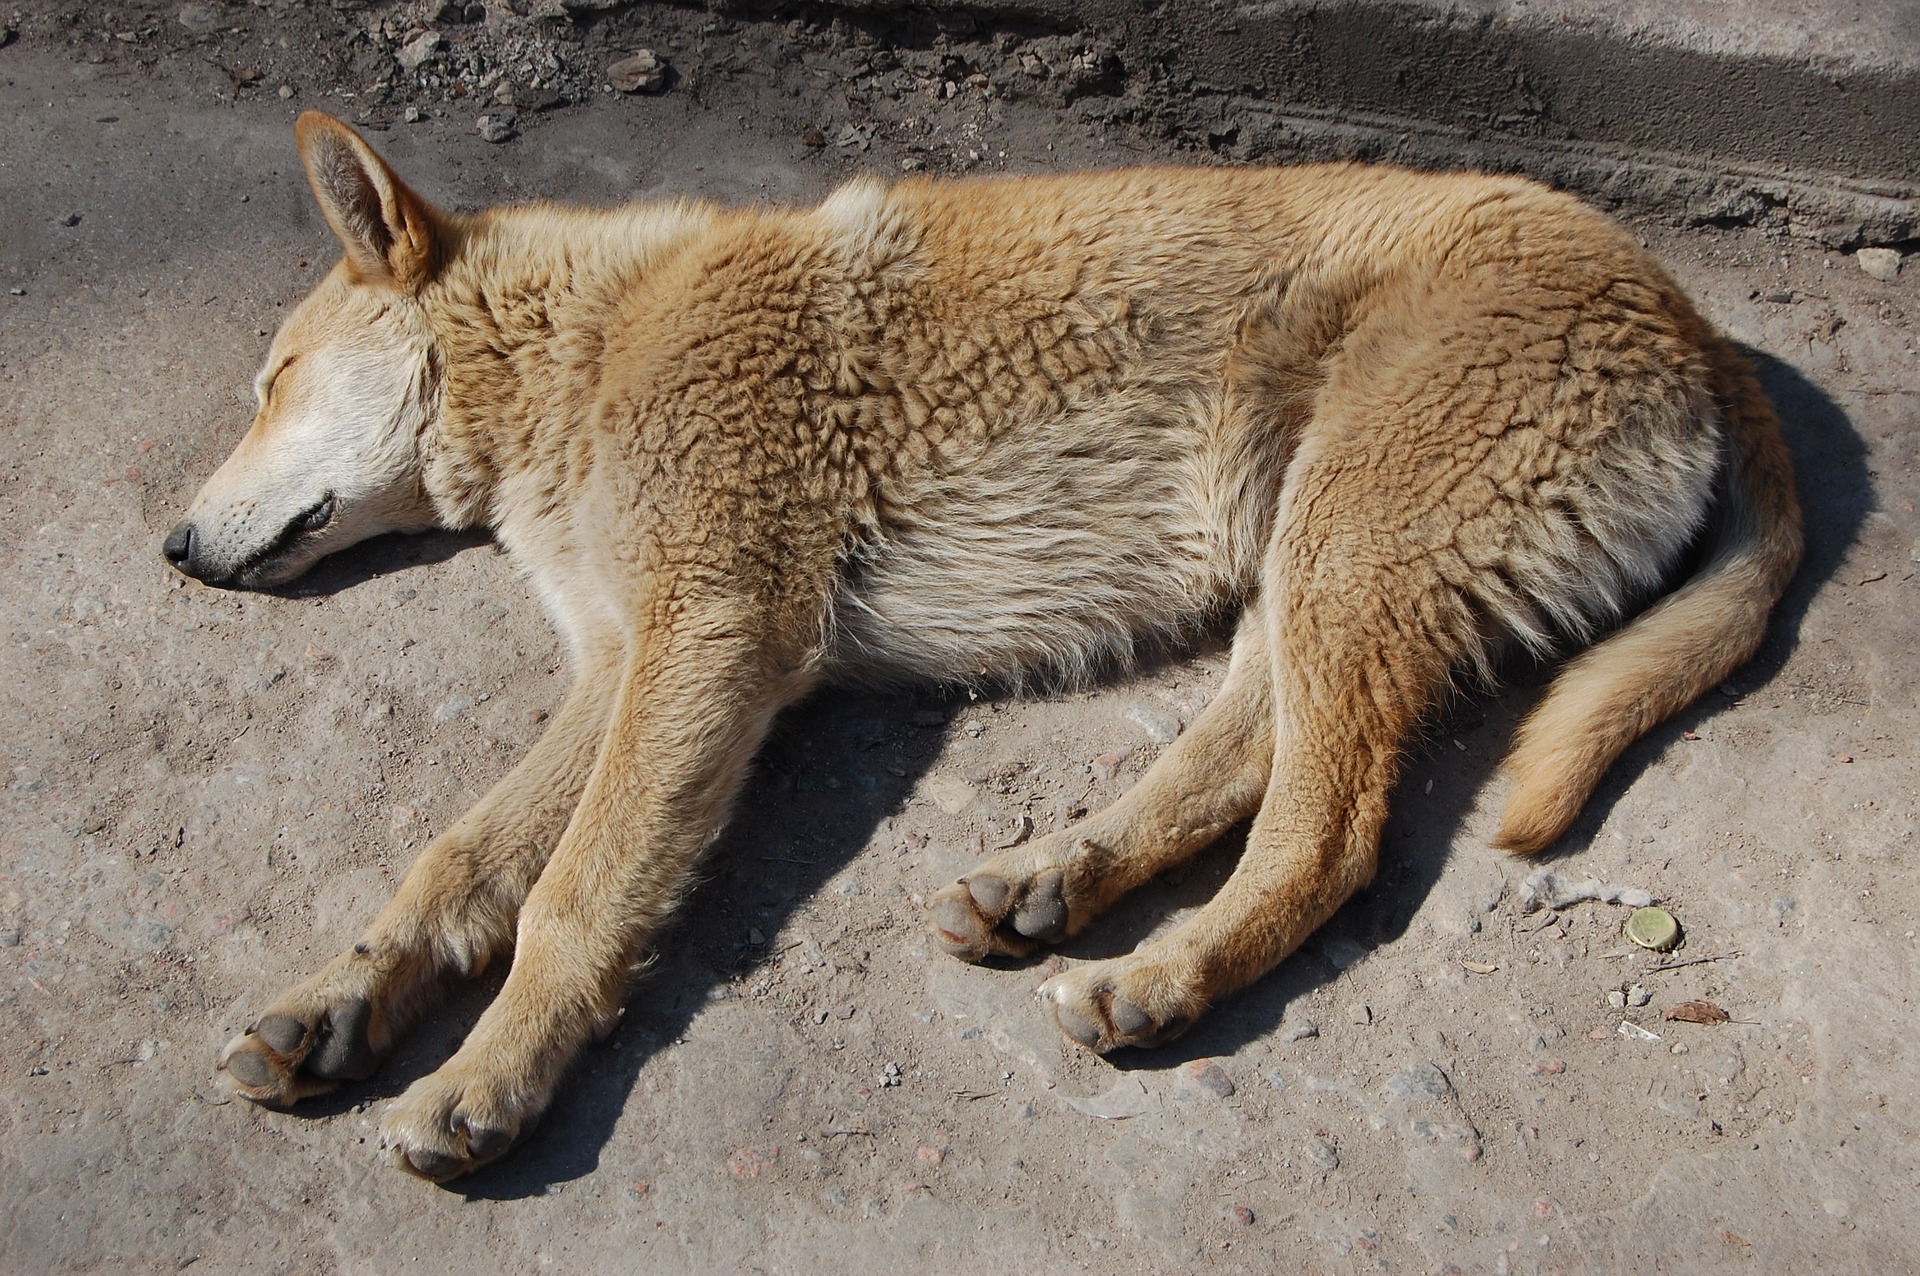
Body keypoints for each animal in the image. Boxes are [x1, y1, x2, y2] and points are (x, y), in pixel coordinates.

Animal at [165, 114, 1797, 1181]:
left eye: (273, 380)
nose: (171, 550)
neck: (590, 346)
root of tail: (1688, 311)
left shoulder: (706, 642)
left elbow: (572, 896)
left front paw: (490, 1077)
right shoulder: (625, 662)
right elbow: (457, 864)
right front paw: (339, 1003)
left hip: (1347, 557)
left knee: (1327, 838)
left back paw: (1163, 976)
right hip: (1304, 568)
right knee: (1239, 764)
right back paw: (1054, 880)